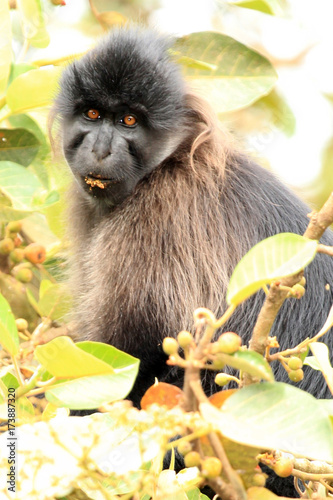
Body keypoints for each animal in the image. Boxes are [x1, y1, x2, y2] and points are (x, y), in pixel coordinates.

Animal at [51, 29, 332, 498]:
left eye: (129, 121)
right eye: (92, 114)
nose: (100, 148)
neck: (168, 163)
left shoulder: (158, 215)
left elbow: (137, 352)